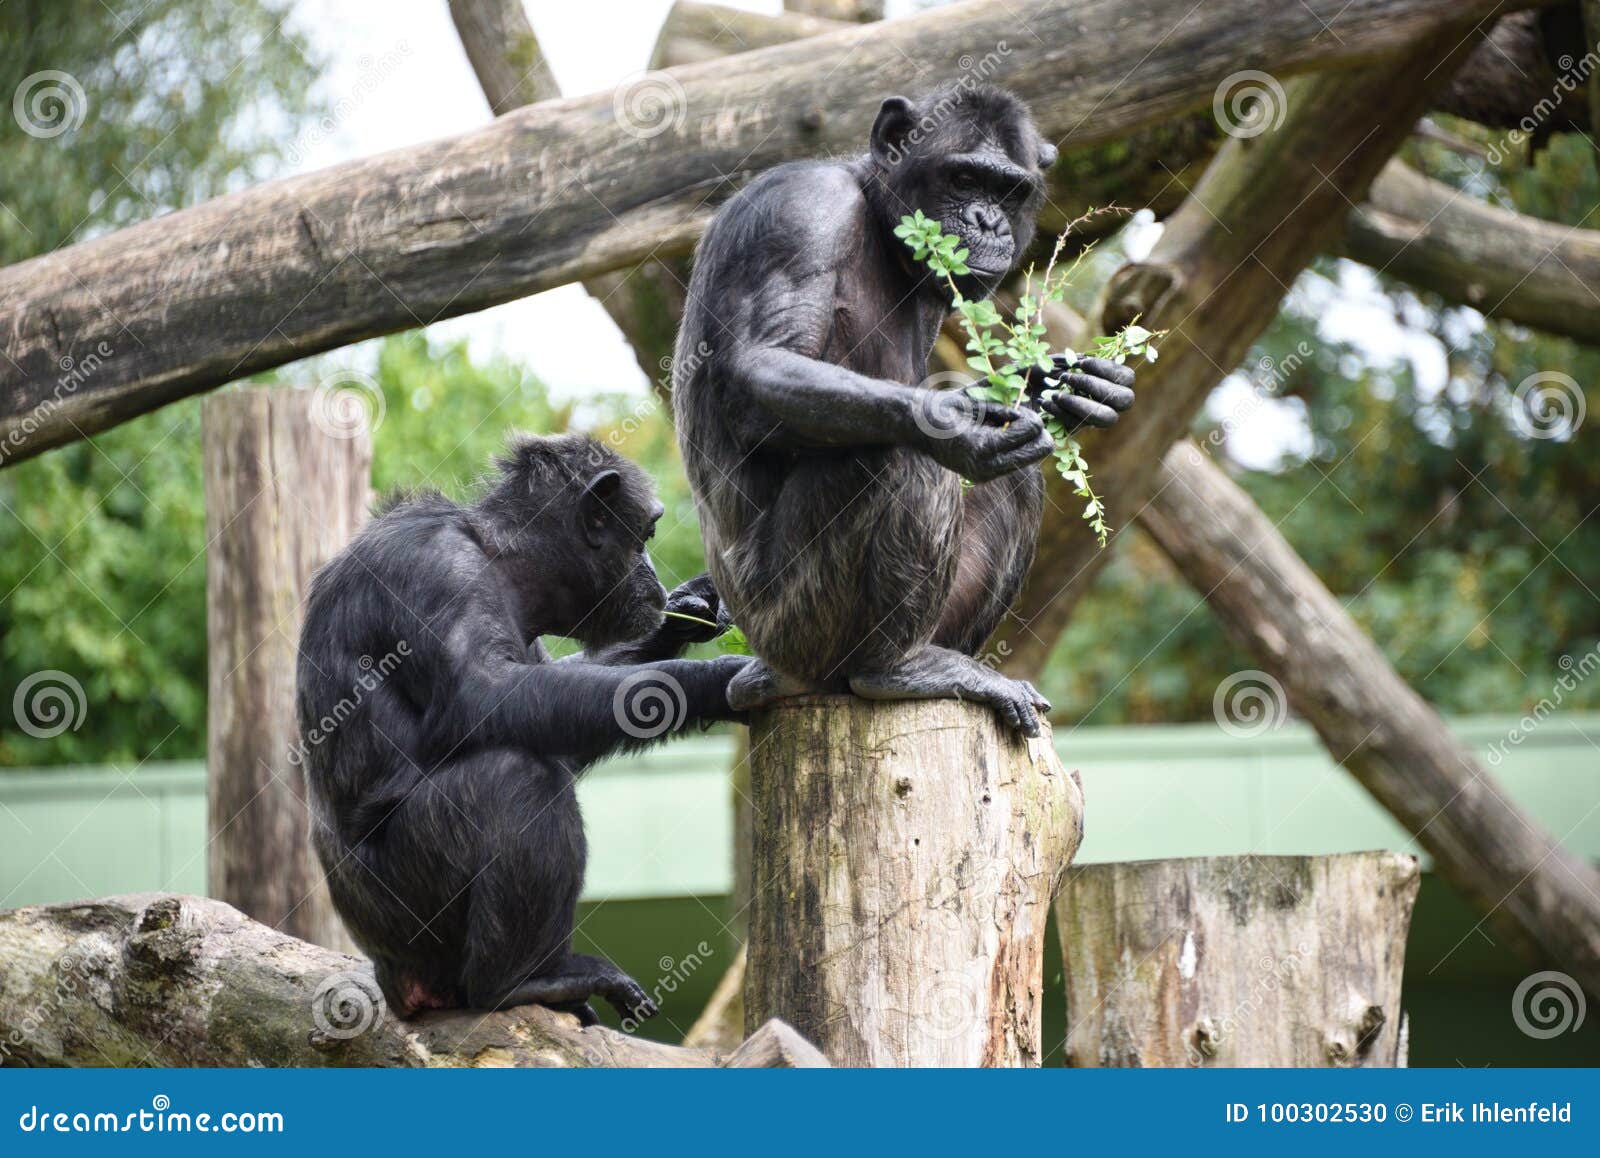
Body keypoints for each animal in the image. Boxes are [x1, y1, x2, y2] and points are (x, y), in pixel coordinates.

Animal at [297, 435, 745, 1023]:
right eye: (646, 536)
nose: (651, 572)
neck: (503, 561)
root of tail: (394, 980)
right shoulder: (439, 568)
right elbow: (485, 691)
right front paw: (717, 679)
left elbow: (554, 700)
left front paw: (687, 612)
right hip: (408, 907)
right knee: (513, 777)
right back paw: (522, 981)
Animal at [675, 83, 1139, 732]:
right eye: (964, 178)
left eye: (1010, 191)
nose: (988, 219)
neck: (873, 213)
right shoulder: (797, 212)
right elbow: (760, 366)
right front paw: (952, 423)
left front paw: (1075, 382)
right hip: (792, 624)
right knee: (896, 455)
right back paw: (898, 667)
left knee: (1014, 479)